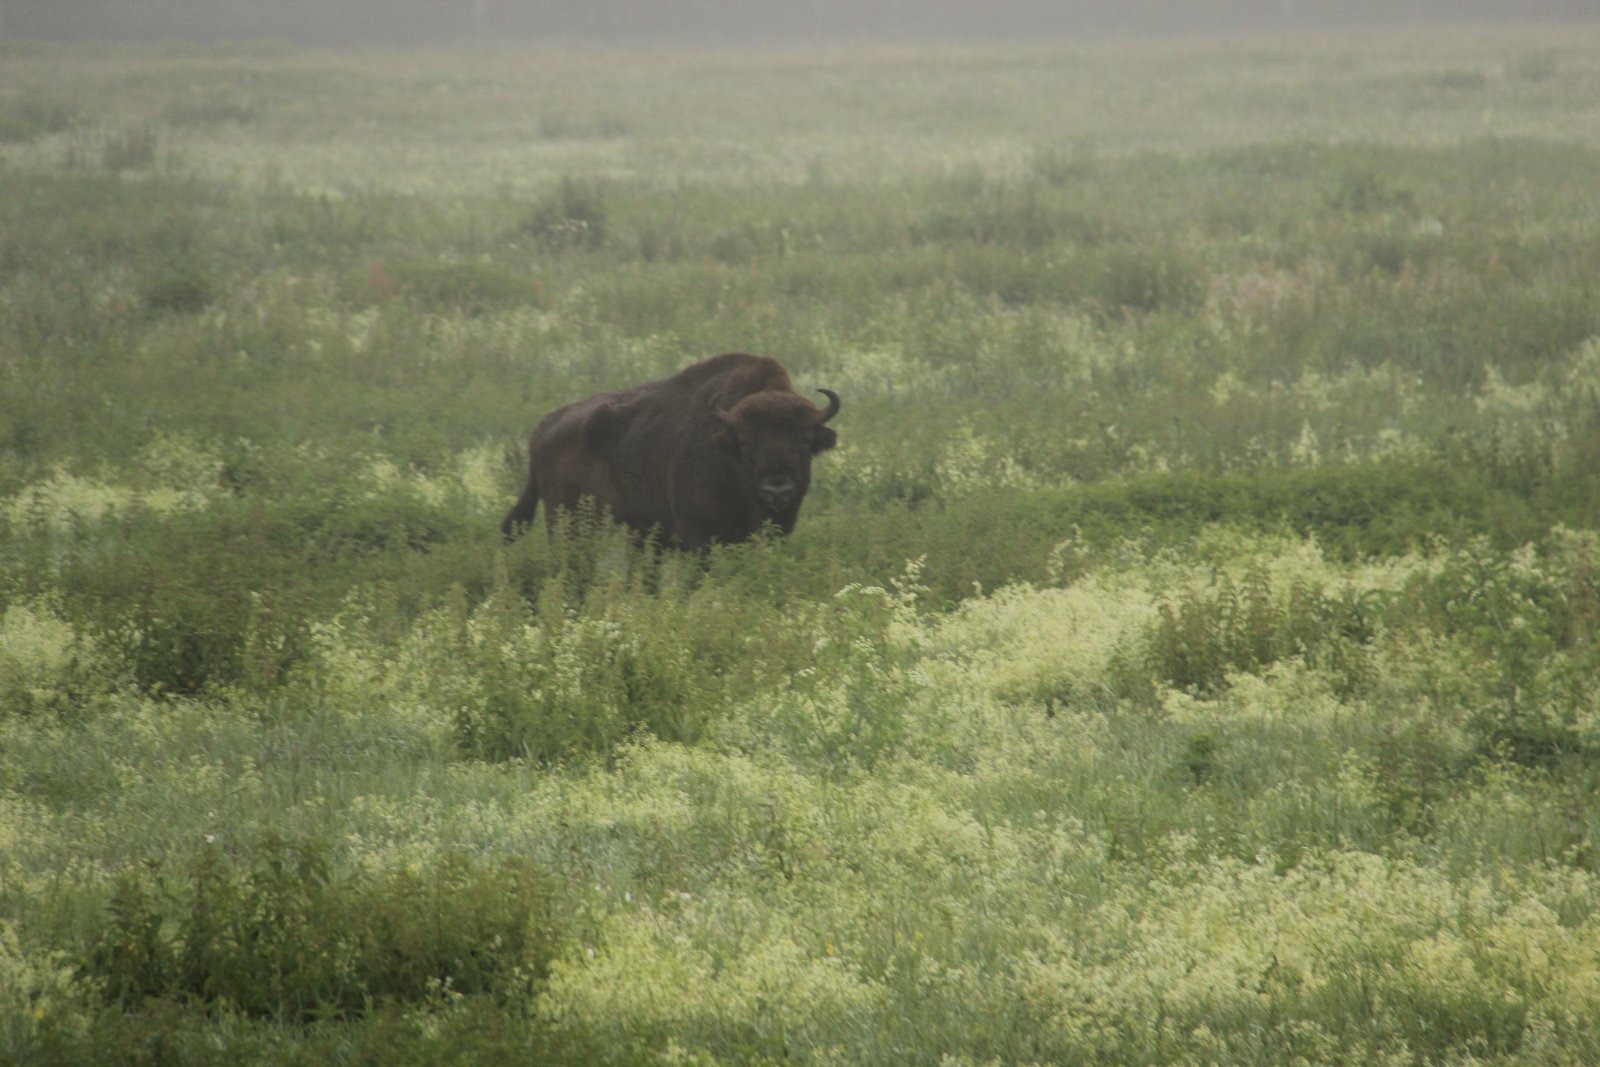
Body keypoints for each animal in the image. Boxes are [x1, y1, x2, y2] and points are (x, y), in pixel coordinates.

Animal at [502, 355, 844, 550]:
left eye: (805, 439)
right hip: (566, 524)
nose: (778, 489)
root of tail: (543, 428)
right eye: (745, 442)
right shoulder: (698, 537)